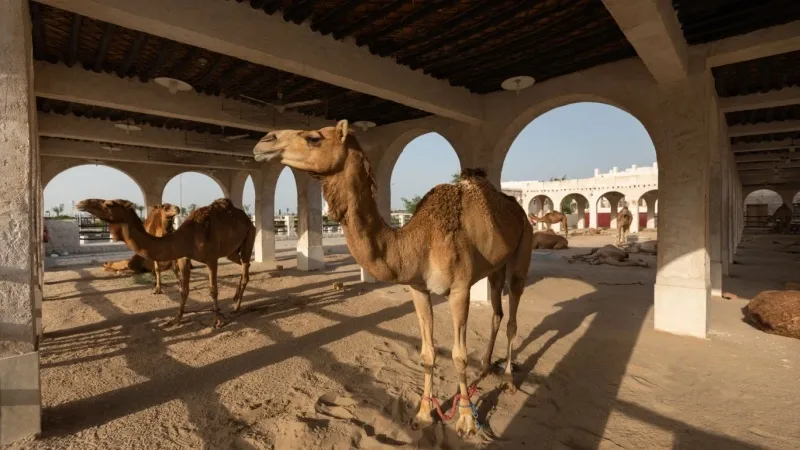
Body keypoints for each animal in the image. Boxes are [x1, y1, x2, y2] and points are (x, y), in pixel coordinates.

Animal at [77, 197, 255, 326]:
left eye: (109, 204)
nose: (82, 203)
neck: (189, 236)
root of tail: (247, 219)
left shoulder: (211, 259)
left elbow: (213, 290)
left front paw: (217, 320)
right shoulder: (183, 257)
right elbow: (184, 290)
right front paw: (176, 319)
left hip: (249, 235)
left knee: (246, 267)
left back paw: (236, 307)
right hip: (231, 251)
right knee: (242, 264)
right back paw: (235, 298)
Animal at [253, 120, 536, 436]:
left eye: (314, 137)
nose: (264, 141)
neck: (419, 241)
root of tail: (516, 209)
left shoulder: (460, 289)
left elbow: (459, 355)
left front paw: (465, 420)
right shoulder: (418, 288)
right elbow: (427, 353)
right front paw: (424, 414)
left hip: (523, 247)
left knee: (512, 315)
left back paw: (508, 380)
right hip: (495, 266)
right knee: (497, 312)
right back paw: (485, 367)